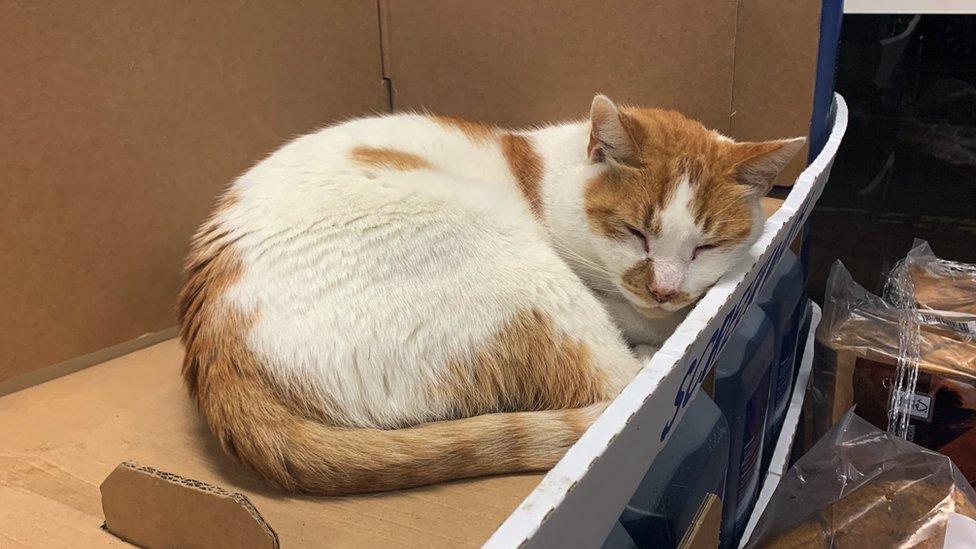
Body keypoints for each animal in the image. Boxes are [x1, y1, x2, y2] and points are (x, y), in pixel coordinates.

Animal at [179, 94, 804, 492]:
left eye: (706, 246)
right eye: (635, 233)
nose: (665, 289)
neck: (546, 182)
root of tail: (217, 354)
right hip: (522, 270)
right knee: (614, 383)